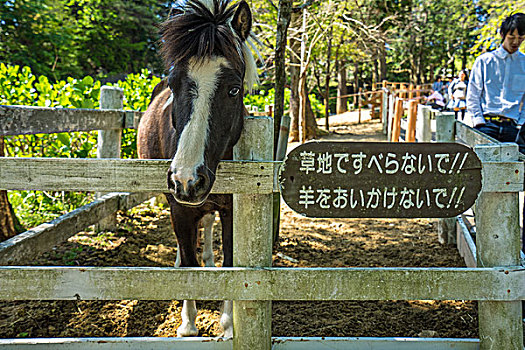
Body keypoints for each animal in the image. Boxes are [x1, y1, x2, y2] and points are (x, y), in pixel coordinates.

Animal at [136, 0, 256, 340]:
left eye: (234, 90)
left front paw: (228, 326)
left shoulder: (230, 211)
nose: (187, 180)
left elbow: (230, 264)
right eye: (174, 85)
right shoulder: (179, 208)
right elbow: (189, 264)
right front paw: (188, 324)